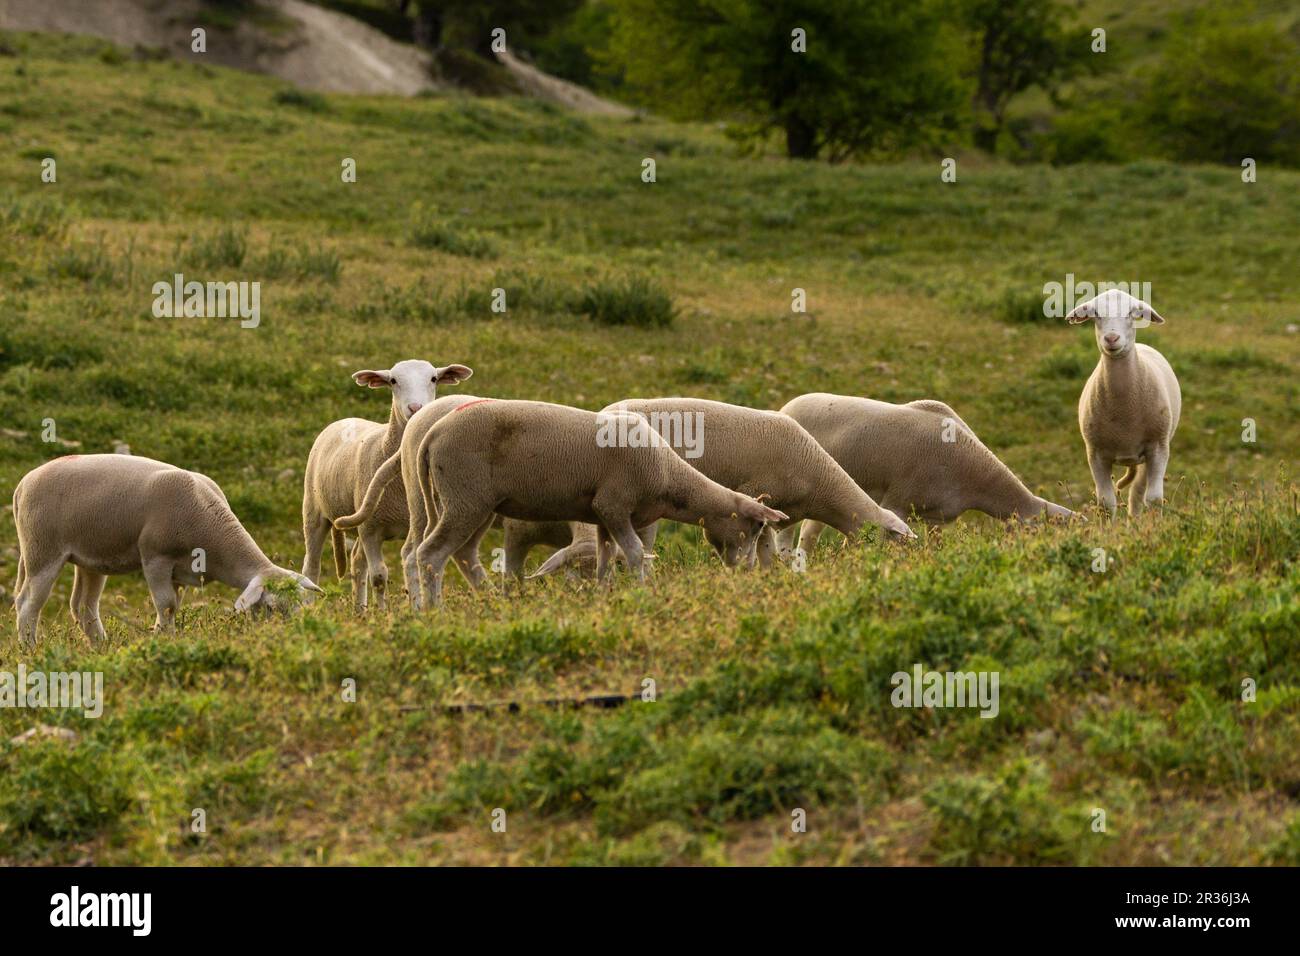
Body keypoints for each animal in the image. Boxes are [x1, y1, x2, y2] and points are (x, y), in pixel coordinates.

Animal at [11, 452, 321, 647]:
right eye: (270, 607)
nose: (290, 636)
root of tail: (23, 484)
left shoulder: (180, 572)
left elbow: (174, 605)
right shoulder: (156, 558)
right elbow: (166, 605)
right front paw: (162, 639)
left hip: (89, 558)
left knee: (83, 606)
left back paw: (100, 647)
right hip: (43, 550)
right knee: (28, 603)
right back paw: (31, 649)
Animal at [300, 358, 473, 613]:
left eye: (433, 378)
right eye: (393, 381)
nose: (415, 408)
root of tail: (344, 420)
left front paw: (416, 607)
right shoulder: (371, 530)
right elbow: (380, 576)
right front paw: (383, 613)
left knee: (357, 562)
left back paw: (360, 611)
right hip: (314, 512)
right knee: (311, 566)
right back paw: (308, 608)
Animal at [410, 403, 785, 606]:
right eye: (756, 527)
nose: (747, 571)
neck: (668, 475)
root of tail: (433, 435)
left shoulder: (601, 516)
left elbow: (606, 558)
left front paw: (603, 596)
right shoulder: (614, 505)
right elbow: (634, 552)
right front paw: (641, 592)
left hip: (473, 504)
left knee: (460, 553)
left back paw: (486, 601)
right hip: (465, 497)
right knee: (430, 555)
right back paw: (433, 611)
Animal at [1066, 290, 1180, 515]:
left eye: (1131, 313)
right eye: (1096, 314)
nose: (1111, 338)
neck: (1124, 412)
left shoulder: (1159, 448)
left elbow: (1154, 499)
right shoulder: (1095, 454)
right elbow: (1105, 503)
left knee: (1137, 494)